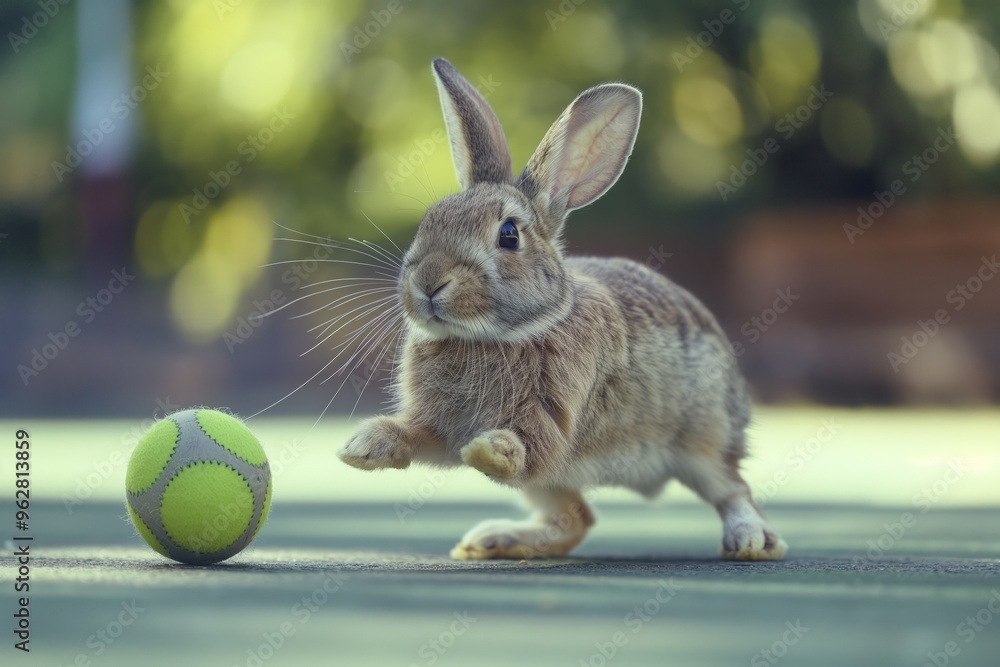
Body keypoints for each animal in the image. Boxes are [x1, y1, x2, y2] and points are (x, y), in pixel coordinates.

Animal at [338, 57, 788, 561]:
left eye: (508, 235)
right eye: (430, 219)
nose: (429, 282)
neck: (494, 335)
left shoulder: (553, 414)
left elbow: (528, 447)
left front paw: (491, 451)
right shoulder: (442, 424)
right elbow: (423, 437)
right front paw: (365, 445)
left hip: (704, 441)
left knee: (733, 489)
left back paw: (750, 539)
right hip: (554, 485)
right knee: (576, 519)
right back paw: (494, 539)